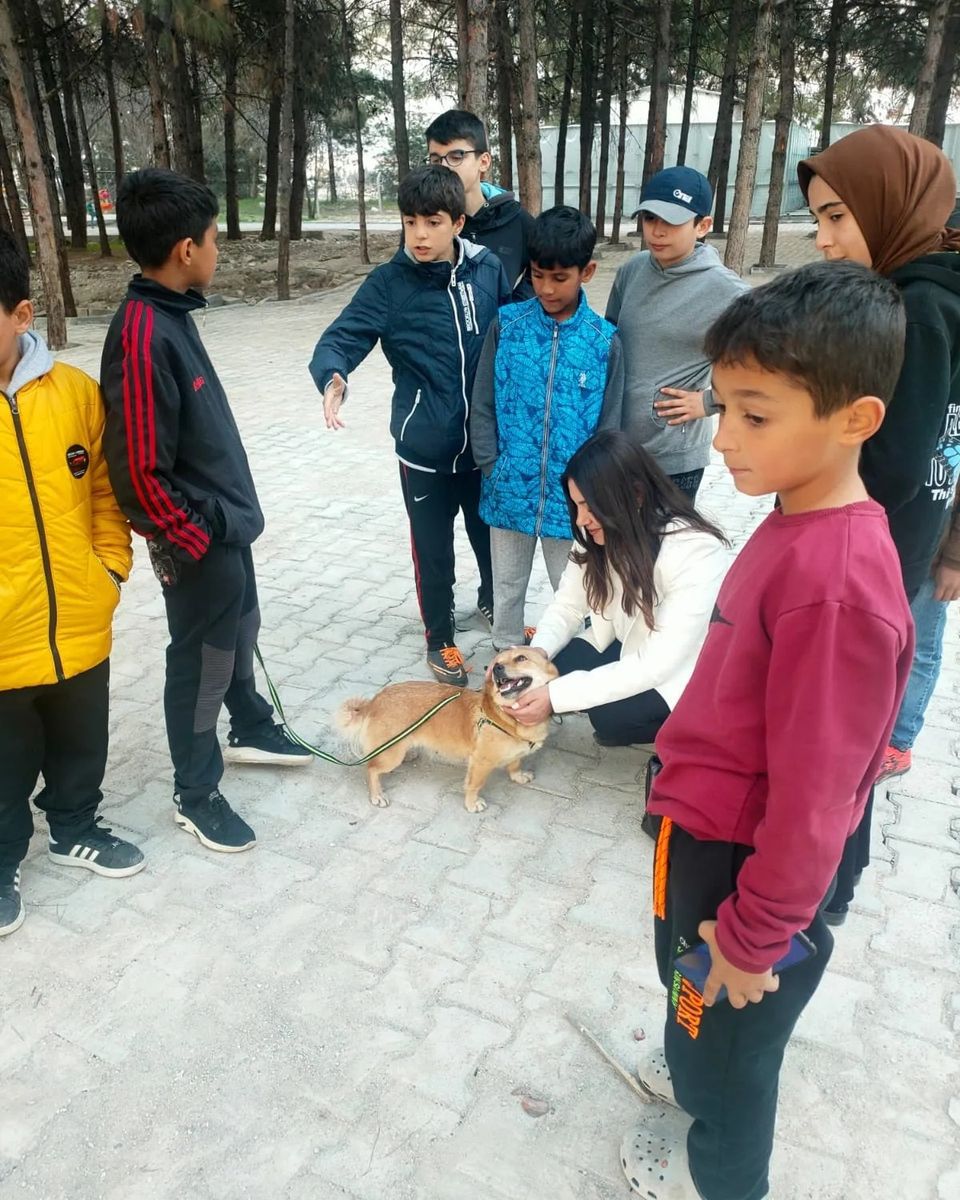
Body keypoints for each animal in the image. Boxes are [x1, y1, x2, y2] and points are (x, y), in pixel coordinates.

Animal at [338, 652, 559, 811]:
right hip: (390, 756)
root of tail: (374, 701)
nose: (496, 668)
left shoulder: (515, 754)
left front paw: (517, 776)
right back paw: (376, 795)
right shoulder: (480, 762)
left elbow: (514, 764)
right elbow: (474, 785)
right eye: (497, 662)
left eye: (521, 658)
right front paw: (471, 804)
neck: (506, 715)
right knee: (371, 769)